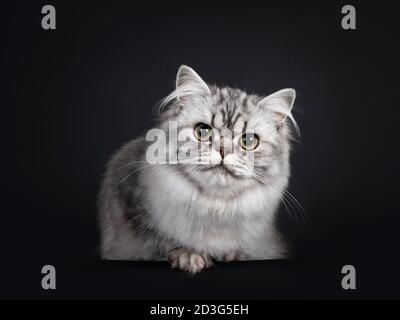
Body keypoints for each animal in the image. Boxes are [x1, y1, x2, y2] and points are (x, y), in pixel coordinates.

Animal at [97, 65, 298, 272]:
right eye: (202, 131)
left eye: (248, 141)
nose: (224, 150)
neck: (215, 207)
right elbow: (162, 241)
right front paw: (190, 256)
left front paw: (234, 255)